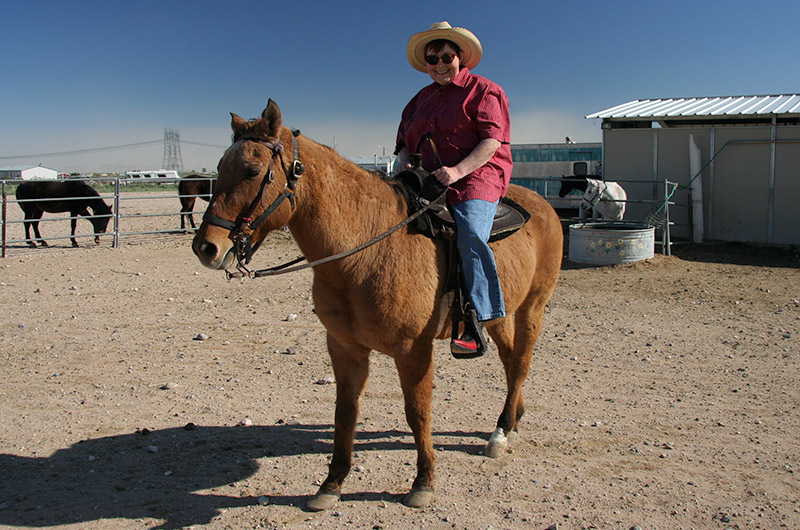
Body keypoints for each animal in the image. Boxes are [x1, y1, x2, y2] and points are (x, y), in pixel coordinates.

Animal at [192, 99, 564, 508]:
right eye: (218, 169)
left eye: (253, 170)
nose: (206, 247)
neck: (364, 249)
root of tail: (543, 205)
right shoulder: (344, 347)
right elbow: (345, 413)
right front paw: (331, 484)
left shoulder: (413, 350)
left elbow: (417, 413)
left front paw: (423, 482)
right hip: (497, 314)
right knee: (510, 360)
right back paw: (512, 419)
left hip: (533, 308)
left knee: (520, 363)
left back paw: (500, 433)